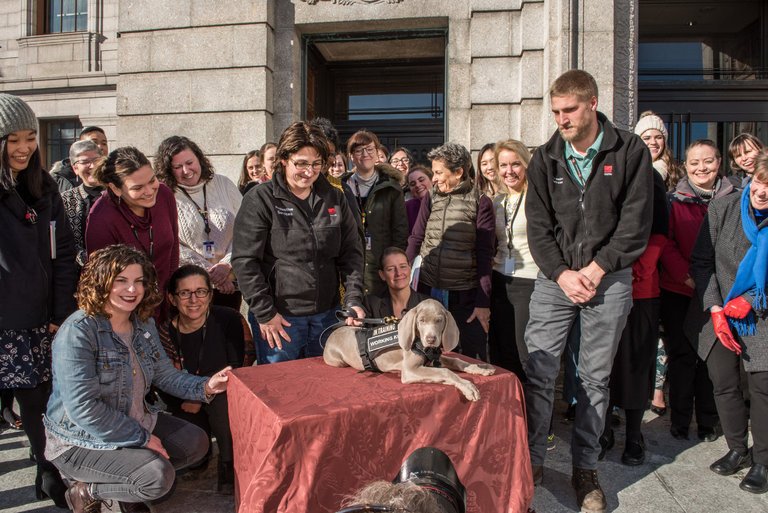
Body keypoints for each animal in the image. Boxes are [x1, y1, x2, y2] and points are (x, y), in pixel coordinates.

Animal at [320, 298, 496, 402]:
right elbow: (445, 372)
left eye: (439, 320)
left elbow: (457, 360)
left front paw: (481, 367)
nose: (431, 339)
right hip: (337, 361)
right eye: (421, 321)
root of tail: (332, 334)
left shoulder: (435, 357)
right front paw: (468, 386)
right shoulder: (411, 370)